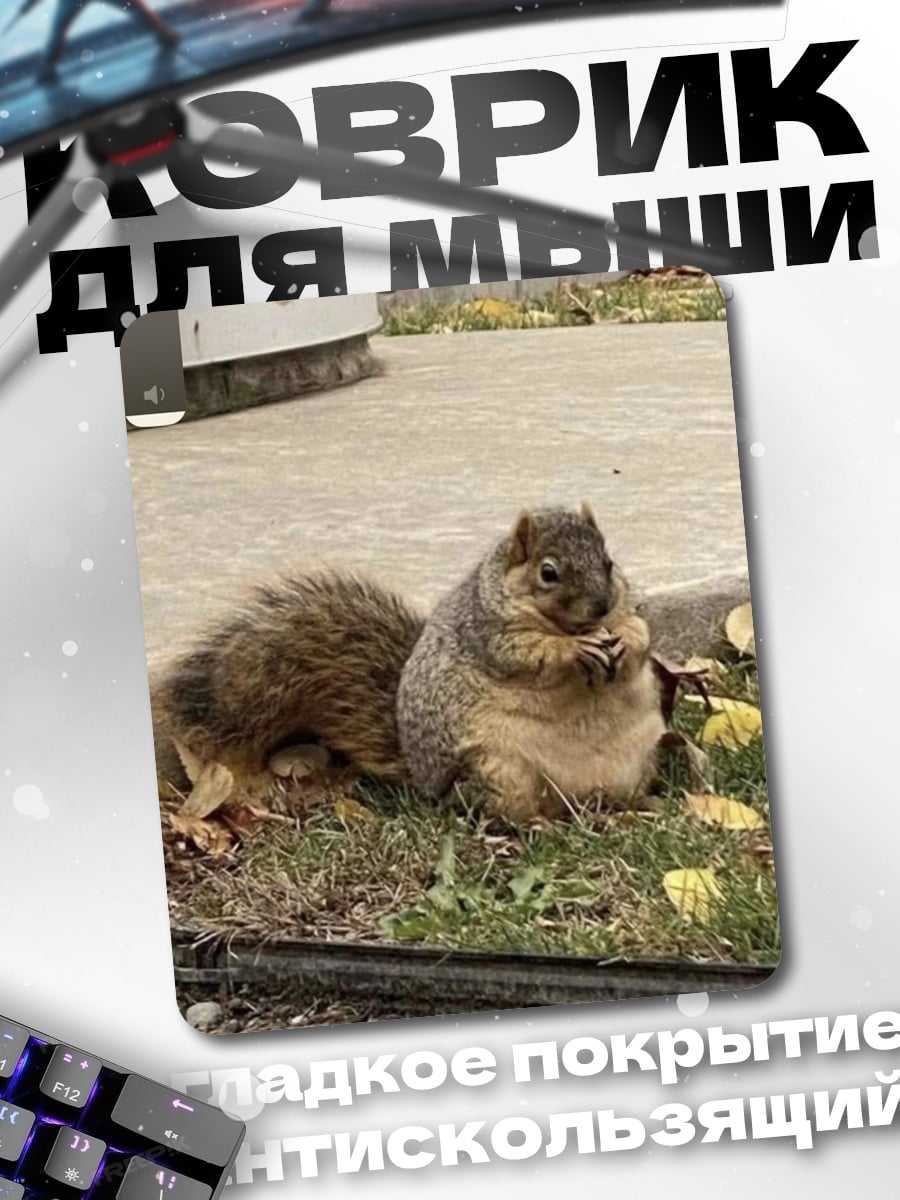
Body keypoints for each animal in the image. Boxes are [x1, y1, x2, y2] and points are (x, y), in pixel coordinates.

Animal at [152, 504, 665, 824]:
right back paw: (538, 826)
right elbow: (526, 654)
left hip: (640, 760)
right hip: (500, 773)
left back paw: (640, 810)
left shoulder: (627, 608)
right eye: (549, 572)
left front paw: (622, 641)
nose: (600, 605)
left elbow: (640, 634)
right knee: (498, 813)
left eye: (609, 561)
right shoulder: (487, 633)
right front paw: (574, 651)